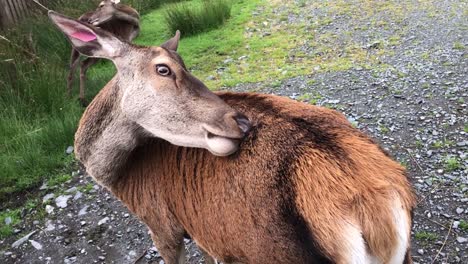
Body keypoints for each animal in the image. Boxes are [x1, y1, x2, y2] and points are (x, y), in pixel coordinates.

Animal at [49, 10, 414, 264]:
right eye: (164, 68)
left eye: (181, 64)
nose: (240, 122)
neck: (118, 177)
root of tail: (374, 207)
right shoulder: (202, 231)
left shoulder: (161, 224)